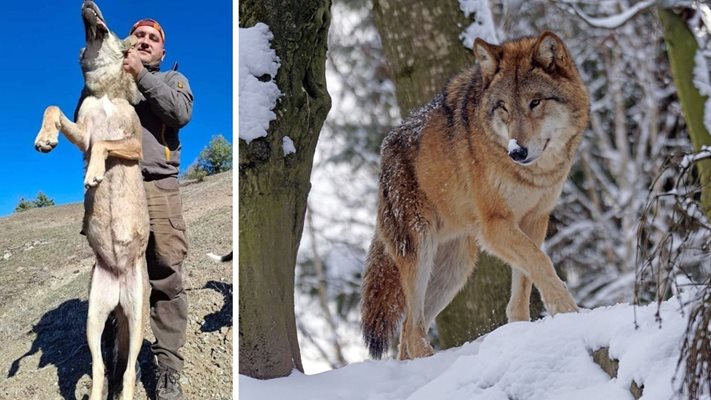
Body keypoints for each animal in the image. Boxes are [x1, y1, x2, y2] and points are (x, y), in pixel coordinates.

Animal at [34, 1, 148, 398]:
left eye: (109, 27)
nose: (87, 4)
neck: (106, 93)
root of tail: (118, 279)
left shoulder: (134, 145)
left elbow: (105, 144)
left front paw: (95, 175)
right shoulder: (83, 133)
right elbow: (54, 109)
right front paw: (45, 139)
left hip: (138, 316)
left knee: (126, 372)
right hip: (93, 319)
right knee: (100, 368)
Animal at [362, 32, 588, 360]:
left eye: (535, 102)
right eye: (504, 107)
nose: (517, 151)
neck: (534, 174)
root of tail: (385, 149)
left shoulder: (534, 220)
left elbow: (525, 280)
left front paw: (522, 330)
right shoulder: (494, 226)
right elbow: (541, 262)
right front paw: (568, 311)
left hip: (454, 270)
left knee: (407, 331)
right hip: (420, 251)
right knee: (412, 328)